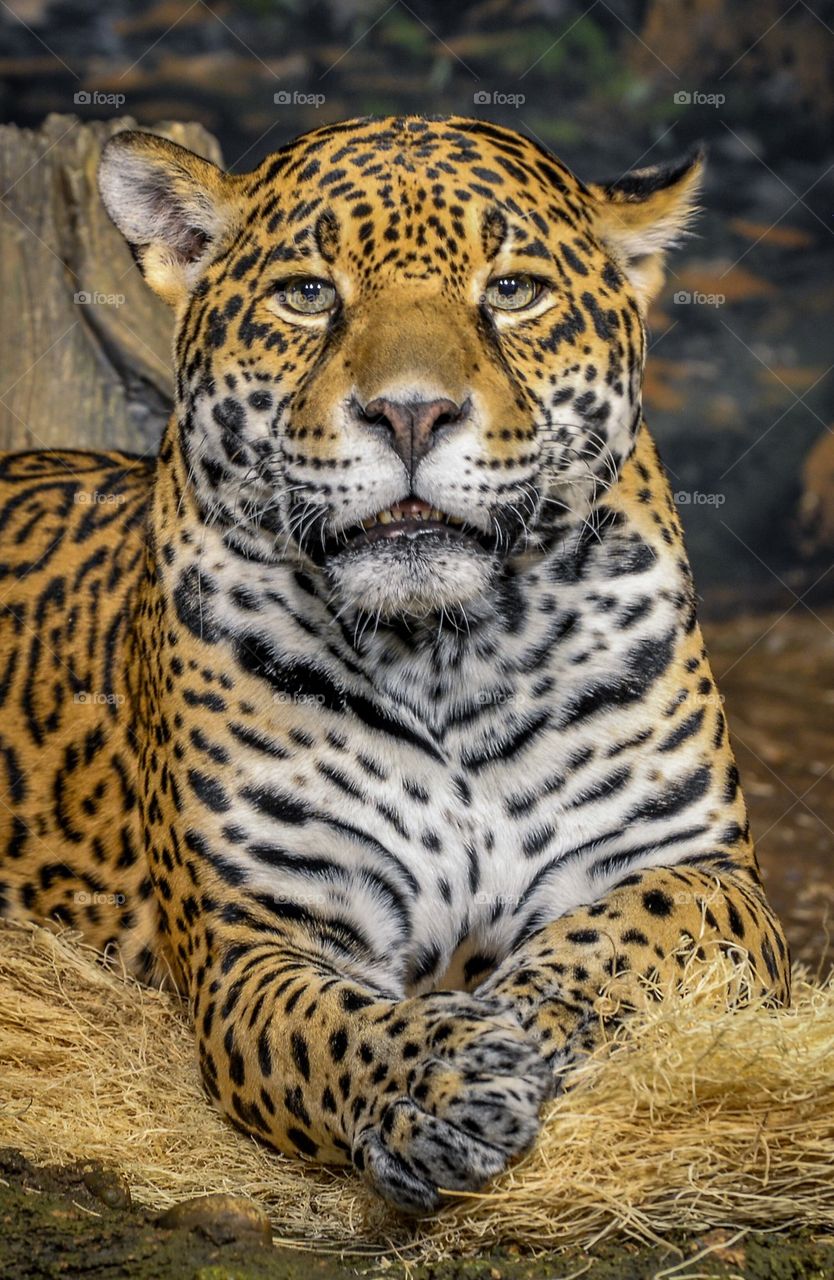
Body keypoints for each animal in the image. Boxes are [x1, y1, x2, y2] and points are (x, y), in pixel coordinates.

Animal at [0, 115, 790, 1214]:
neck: (448, 652)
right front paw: (443, 1081)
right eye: (307, 294)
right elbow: (327, 1029)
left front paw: (522, 1015)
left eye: (513, 290)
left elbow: (639, 926)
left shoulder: (708, 867)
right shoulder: (257, 937)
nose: (412, 414)